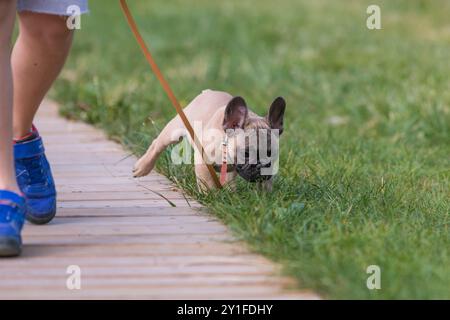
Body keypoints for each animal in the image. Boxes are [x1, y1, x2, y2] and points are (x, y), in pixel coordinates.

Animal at [134, 89, 286, 191]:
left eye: (271, 154)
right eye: (246, 154)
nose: (261, 166)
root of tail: (208, 92)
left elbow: (264, 185)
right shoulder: (203, 162)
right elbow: (207, 183)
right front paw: (211, 197)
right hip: (174, 130)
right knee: (157, 145)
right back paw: (142, 167)